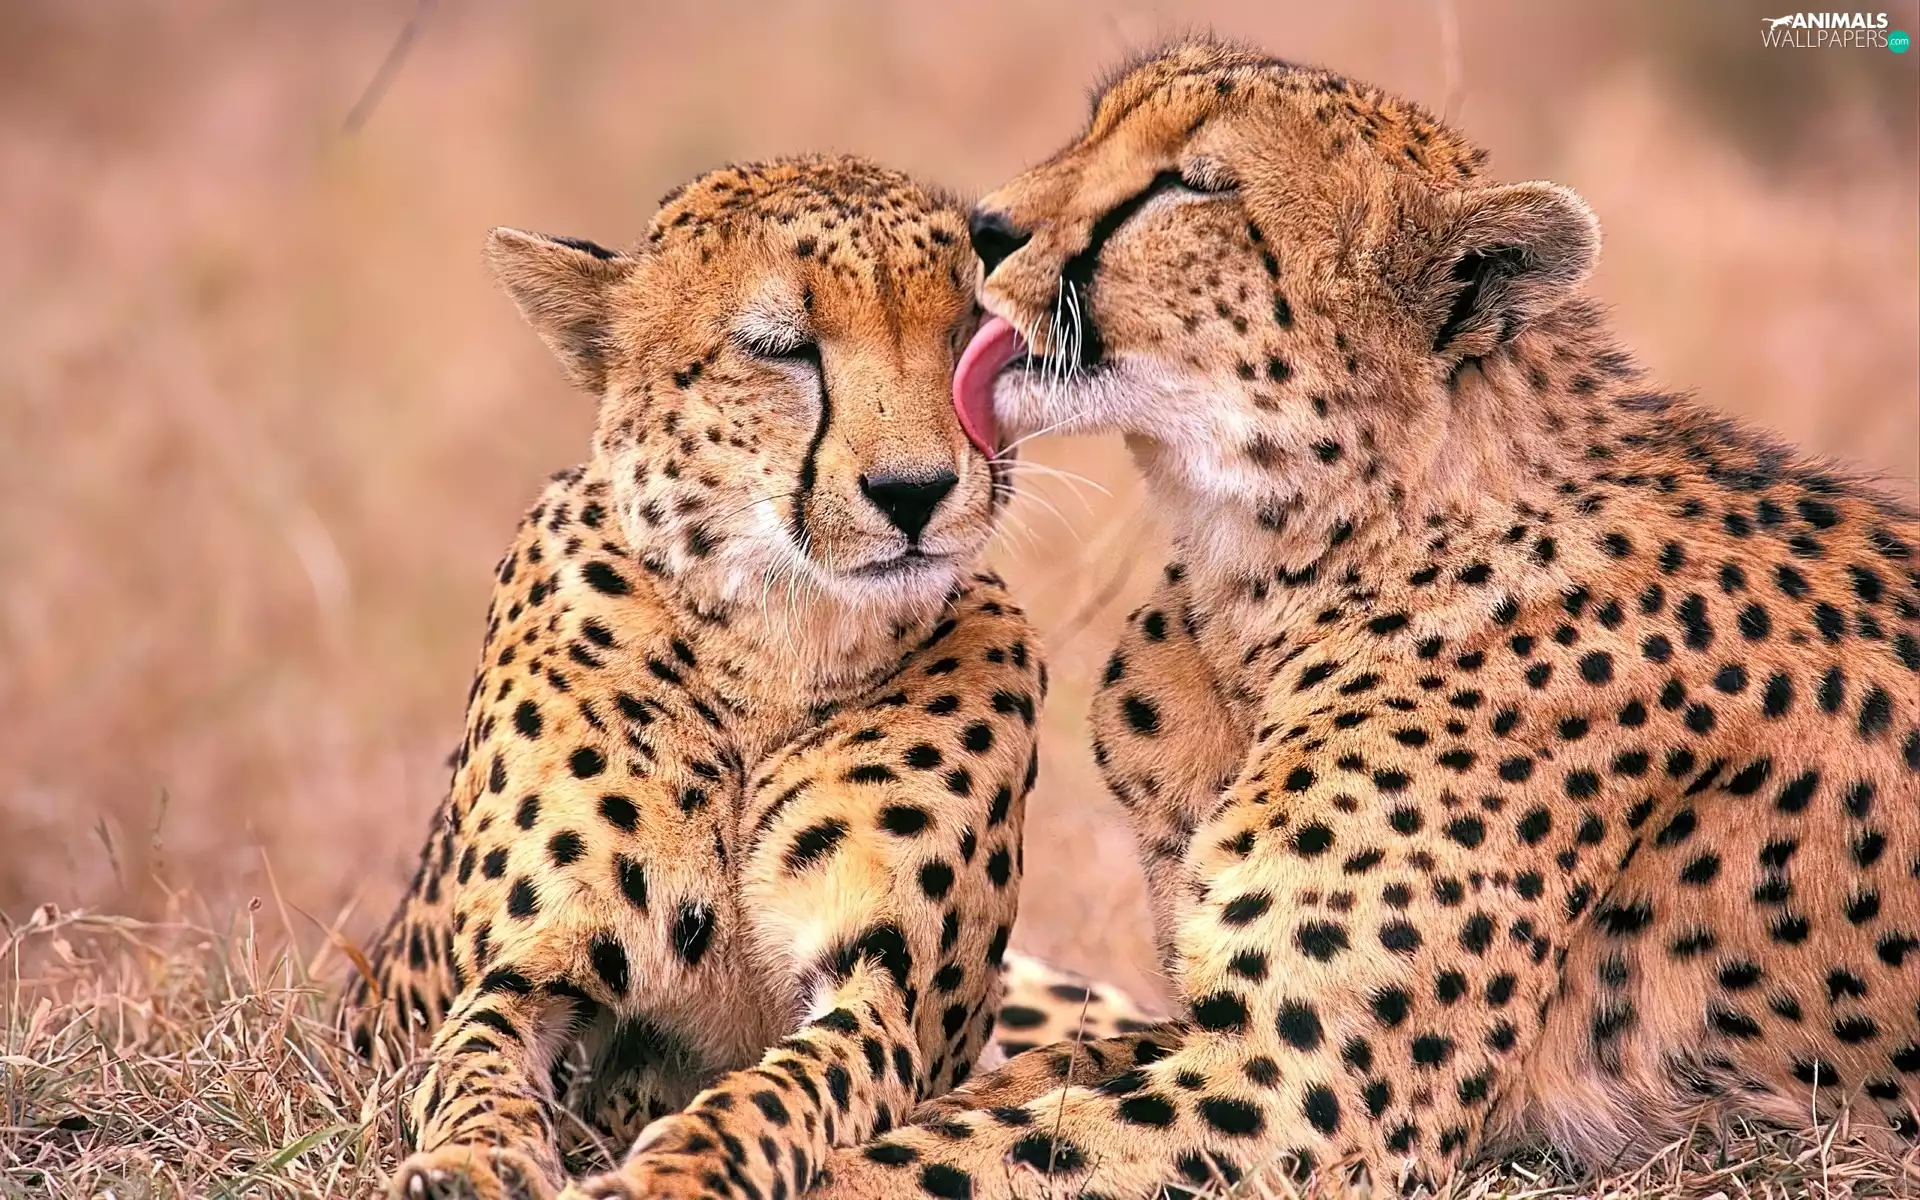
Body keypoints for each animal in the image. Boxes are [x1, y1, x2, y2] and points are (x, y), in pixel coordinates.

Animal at [335, 154, 1153, 1200]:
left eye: (970, 337)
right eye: (780, 349)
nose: (914, 491)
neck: (775, 646)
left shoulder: (886, 991)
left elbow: (779, 1090)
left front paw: (676, 1172)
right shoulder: (530, 966)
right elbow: (474, 1063)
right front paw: (473, 1165)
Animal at [810, 41, 1920, 1198]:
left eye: (1192, 185)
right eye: (1098, 125)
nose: (982, 227)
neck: (1281, 571)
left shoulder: (1302, 1100)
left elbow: (926, 1159)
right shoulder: (1210, 1031)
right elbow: (996, 1089)